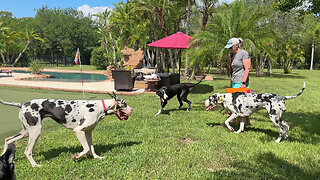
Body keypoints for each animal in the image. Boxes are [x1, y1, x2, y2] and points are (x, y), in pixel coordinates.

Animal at [0, 93, 132, 167]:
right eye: (125, 104)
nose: (132, 109)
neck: (98, 107)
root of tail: (22, 104)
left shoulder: (88, 132)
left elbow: (92, 148)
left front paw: (96, 157)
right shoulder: (79, 131)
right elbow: (86, 148)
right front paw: (76, 157)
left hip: (26, 132)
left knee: (7, 139)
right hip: (35, 132)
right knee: (27, 151)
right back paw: (35, 165)